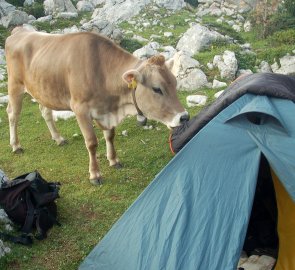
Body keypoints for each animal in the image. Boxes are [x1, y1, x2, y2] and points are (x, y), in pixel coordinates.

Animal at [5, 26, 190, 185]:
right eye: (157, 89)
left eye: (175, 84)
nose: (184, 117)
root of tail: (19, 30)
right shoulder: (80, 109)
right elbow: (92, 143)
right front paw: (95, 174)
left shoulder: (106, 111)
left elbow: (110, 136)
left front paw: (114, 160)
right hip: (15, 85)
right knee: (13, 114)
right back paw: (16, 145)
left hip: (43, 90)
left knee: (45, 112)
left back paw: (58, 138)